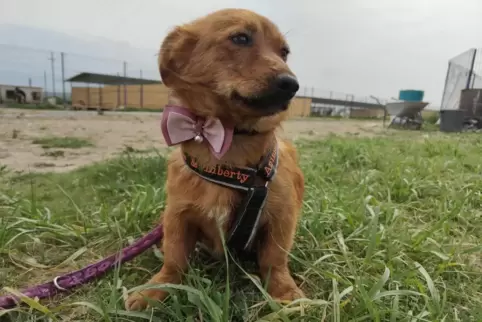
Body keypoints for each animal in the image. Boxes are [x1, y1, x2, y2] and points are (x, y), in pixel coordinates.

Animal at [125, 8, 306, 310]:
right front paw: (156, 289)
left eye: (284, 53)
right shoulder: (177, 216)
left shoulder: (282, 216)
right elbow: (174, 259)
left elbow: (274, 260)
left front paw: (284, 292)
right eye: (240, 38)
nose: (292, 85)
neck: (227, 143)